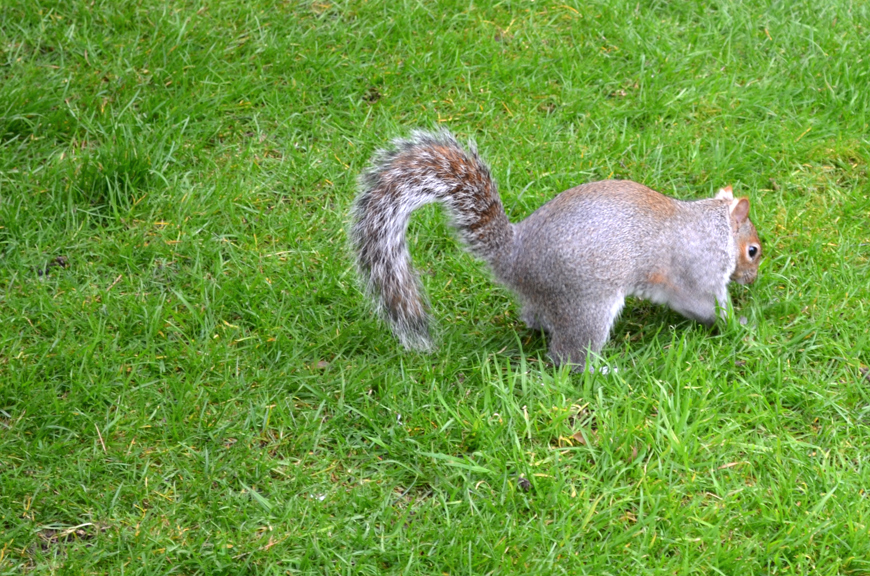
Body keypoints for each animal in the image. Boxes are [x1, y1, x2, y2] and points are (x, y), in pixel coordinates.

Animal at [350, 130, 760, 368]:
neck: (714, 224)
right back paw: (600, 369)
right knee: (567, 355)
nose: (753, 280)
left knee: (537, 320)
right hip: (587, 303)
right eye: (753, 250)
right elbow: (704, 304)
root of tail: (513, 256)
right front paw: (737, 324)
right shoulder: (698, 271)